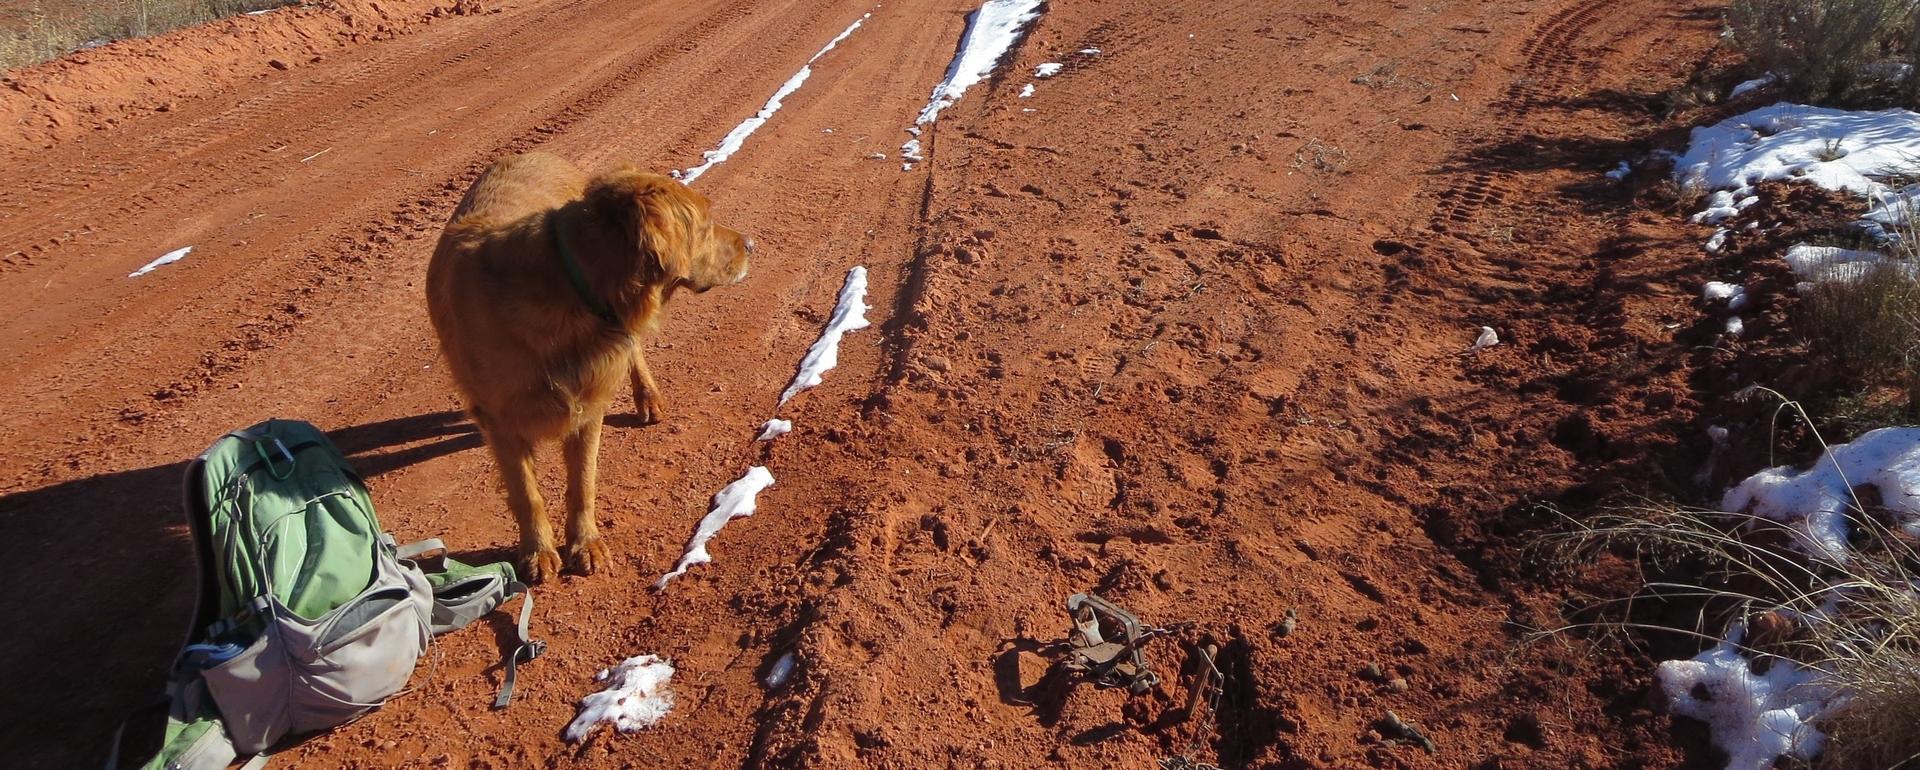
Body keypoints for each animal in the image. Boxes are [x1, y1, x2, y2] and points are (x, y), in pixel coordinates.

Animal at [426, 152, 748, 579]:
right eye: (707, 224)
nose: (751, 244)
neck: (569, 286)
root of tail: (539, 152)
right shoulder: (500, 421)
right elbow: (526, 492)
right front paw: (538, 550)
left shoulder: (588, 405)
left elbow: (582, 483)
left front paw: (585, 543)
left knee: (634, 351)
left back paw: (647, 397)